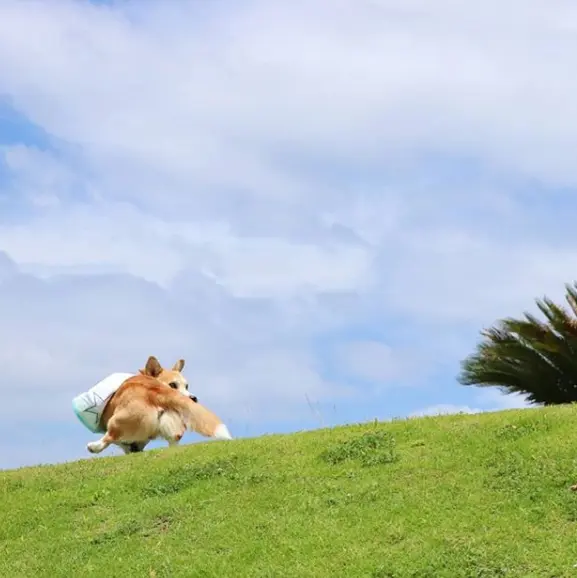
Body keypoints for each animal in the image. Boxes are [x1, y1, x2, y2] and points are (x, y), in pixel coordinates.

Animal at [85, 354, 232, 452]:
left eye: (186, 386)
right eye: (174, 385)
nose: (193, 398)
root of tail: (155, 390)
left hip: (119, 419)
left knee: (110, 436)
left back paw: (94, 446)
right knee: (174, 440)